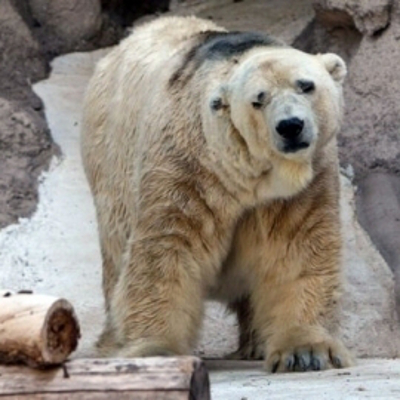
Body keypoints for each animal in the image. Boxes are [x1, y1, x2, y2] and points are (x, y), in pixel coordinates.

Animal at [81, 15, 354, 372]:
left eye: (306, 85)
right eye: (258, 99)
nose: (290, 126)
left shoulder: (303, 183)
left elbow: (298, 246)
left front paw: (305, 351)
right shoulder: (189, 166)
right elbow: (167, 248)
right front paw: (155, 350)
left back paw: (255, 343)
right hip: (111, 165)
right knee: (116, 256)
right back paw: (111, 343)